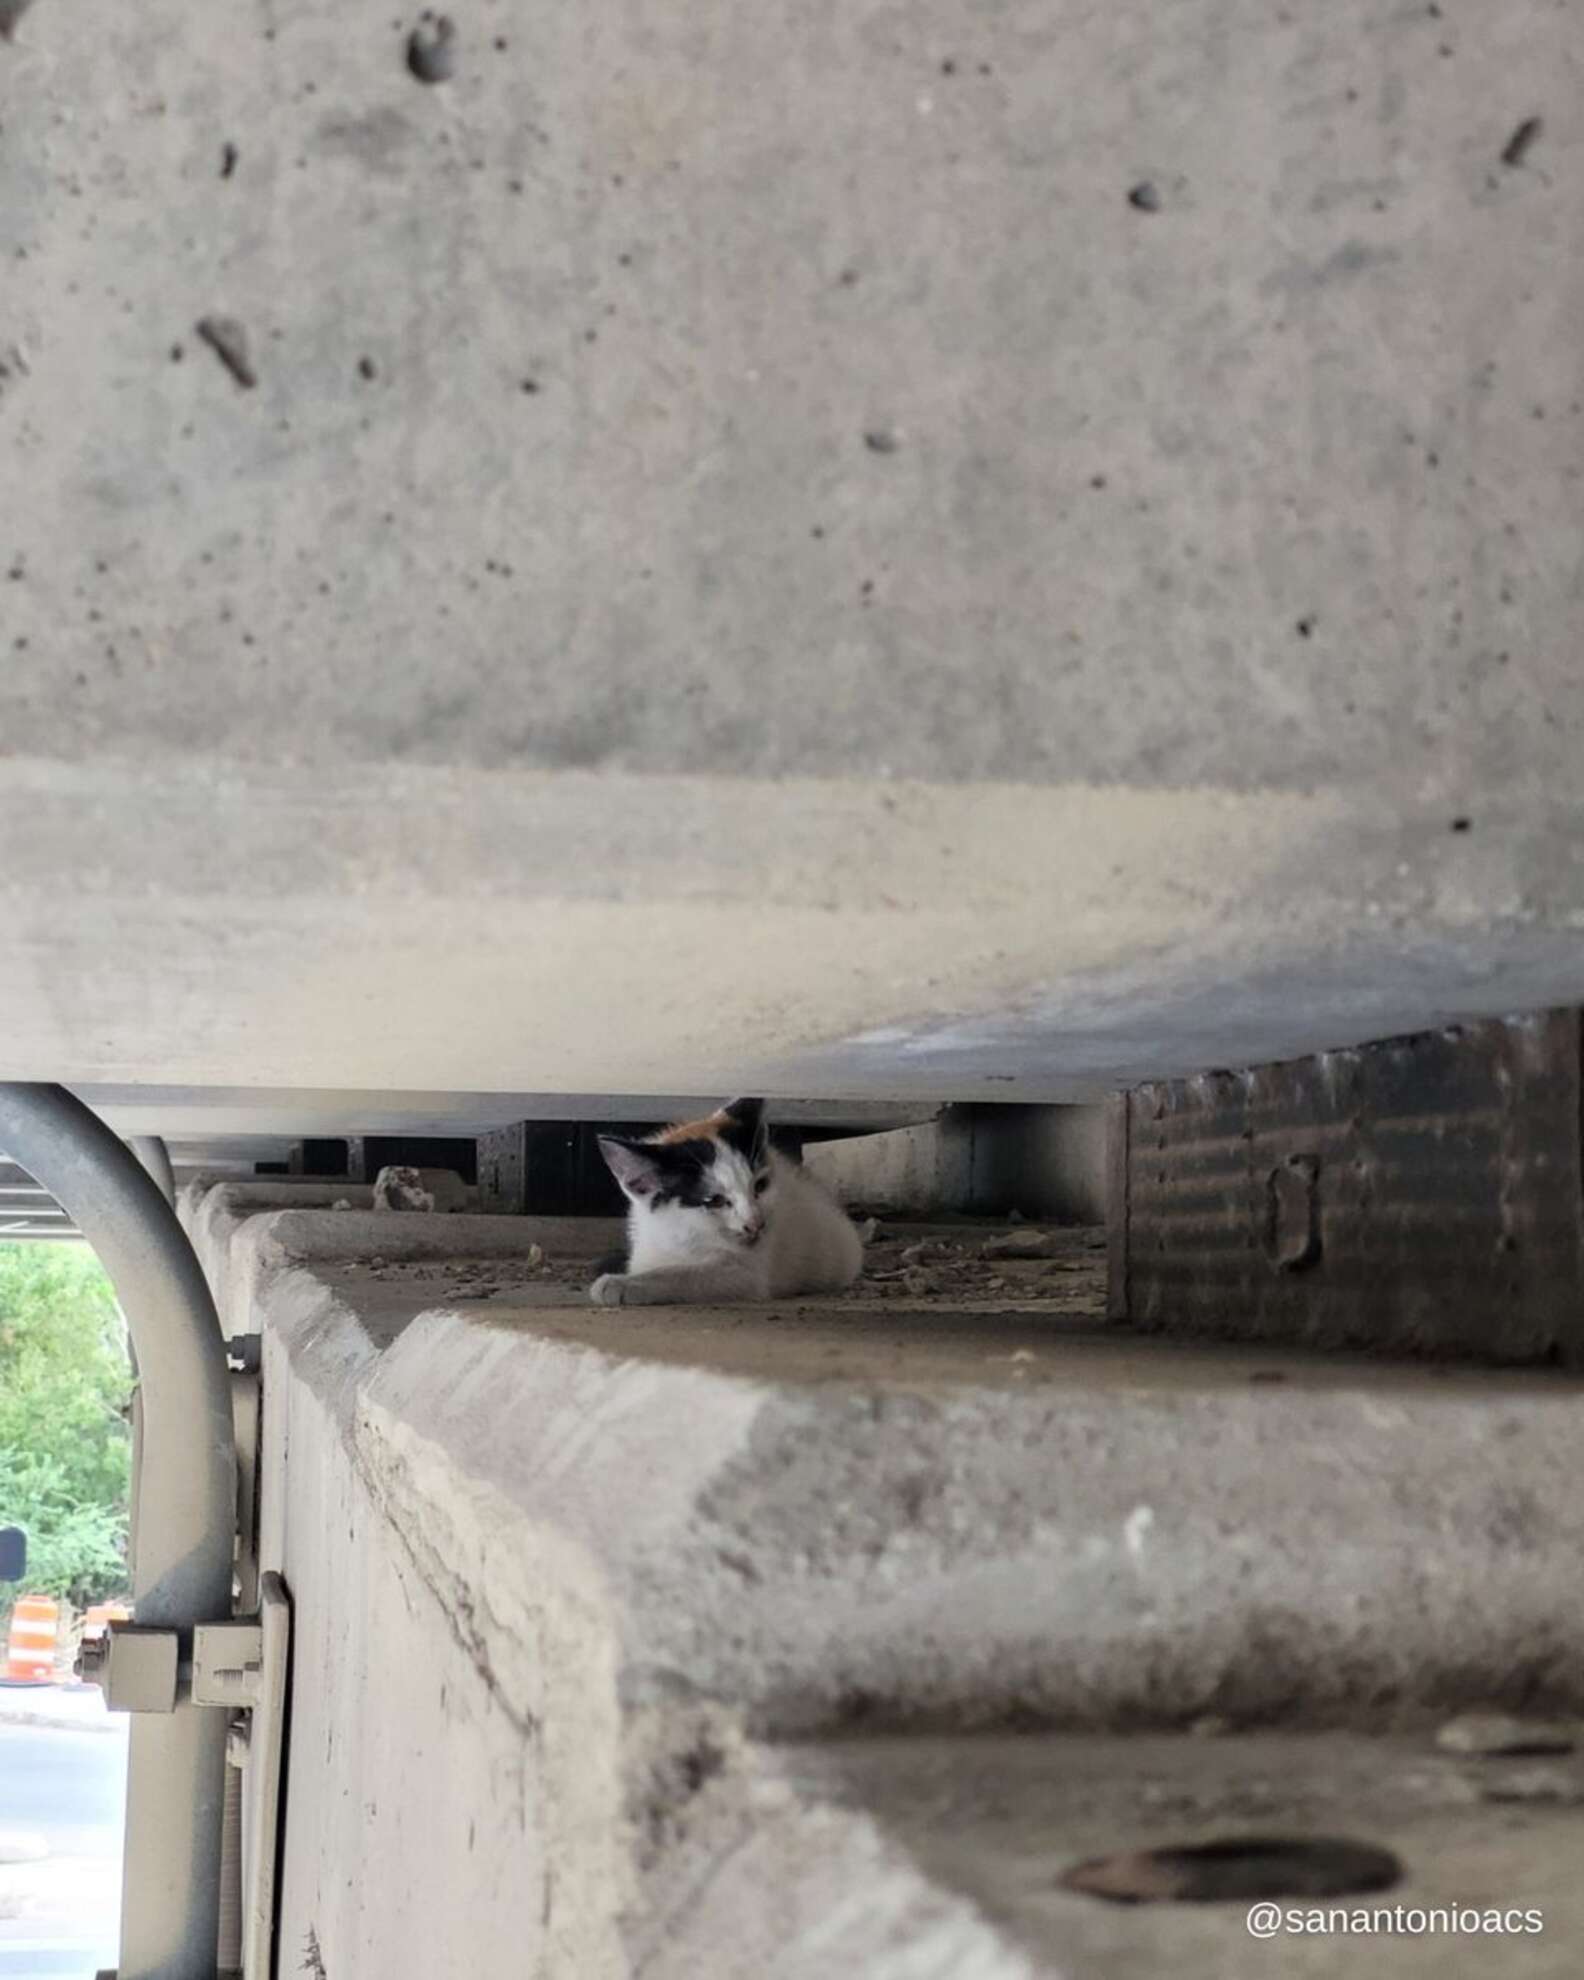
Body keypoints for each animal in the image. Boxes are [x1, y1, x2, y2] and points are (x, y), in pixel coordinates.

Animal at [594, 1092, 867, 1306]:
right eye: (715, 1200)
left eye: (760, 1186)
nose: (756, 1224)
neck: (686, 1237)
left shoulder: (748, 1273)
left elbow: (685, 1274)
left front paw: (622, 1284)